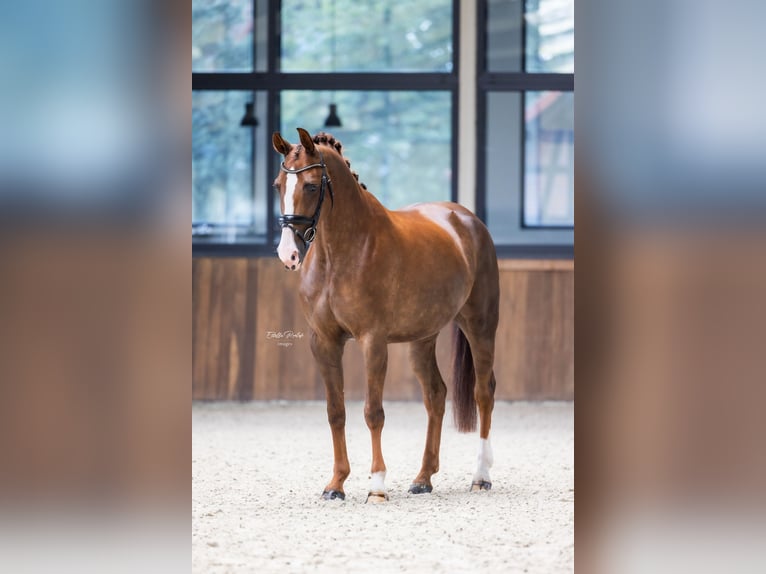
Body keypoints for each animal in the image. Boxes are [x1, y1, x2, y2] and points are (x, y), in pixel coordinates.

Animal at [272, 127, 500, 504]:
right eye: (278, 185)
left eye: (312, 186)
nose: (288, 253)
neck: (343, 253)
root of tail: (466, 220)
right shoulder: (324, 343)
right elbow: (336, 412)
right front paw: (335, 484)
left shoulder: (373, 342)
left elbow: (372, 413)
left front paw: (376, 486)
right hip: (422, 339)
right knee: (436, 396)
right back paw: (423, 478)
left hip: (480, 326)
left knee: (484, 392)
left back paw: (481, 476)